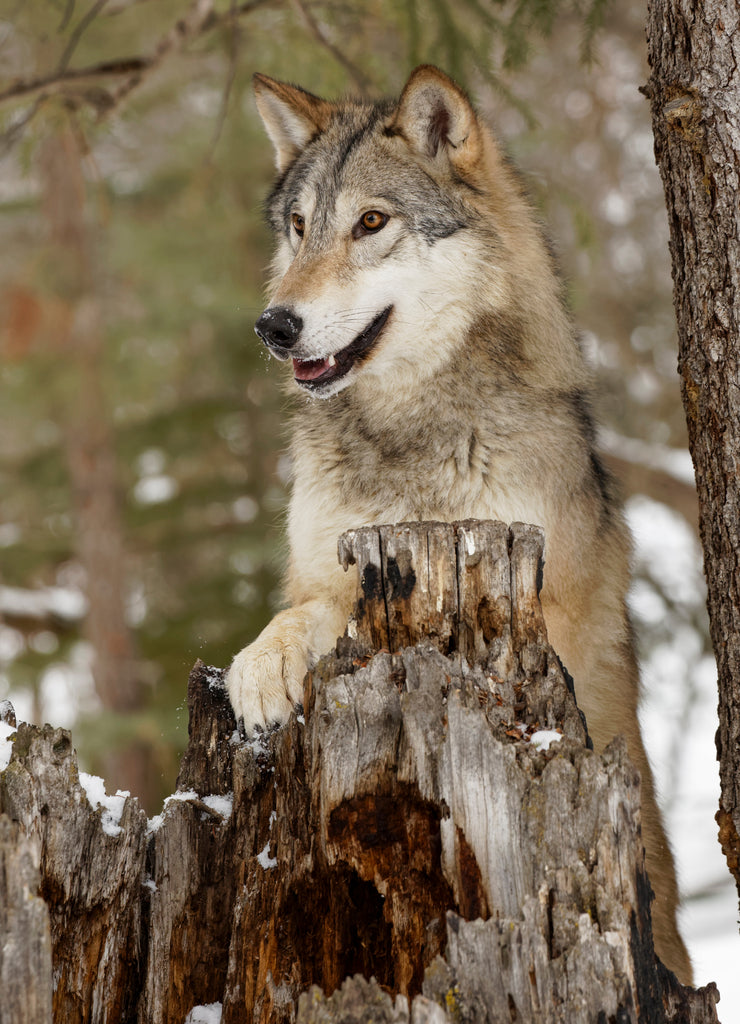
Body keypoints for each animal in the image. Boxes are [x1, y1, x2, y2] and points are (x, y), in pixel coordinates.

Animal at [226, 65, 691, 981]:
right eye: (299, 228)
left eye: (371, 223)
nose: (274, 325)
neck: (410, 437)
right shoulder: (324, 567)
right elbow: (306, 608)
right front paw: (261, 666)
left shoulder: (536, 601)